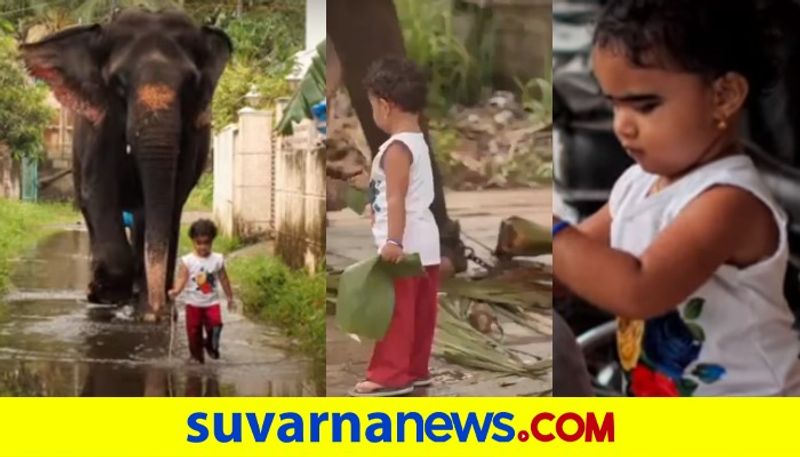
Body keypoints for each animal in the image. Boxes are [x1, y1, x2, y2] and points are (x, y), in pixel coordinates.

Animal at [21, 9, 231, 318]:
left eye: (189, 84)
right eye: (119, 83)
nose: (160, 311)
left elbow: (170, 201)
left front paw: (148, 307)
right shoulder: (100, 128)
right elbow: (96, 193)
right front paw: (103, 295)